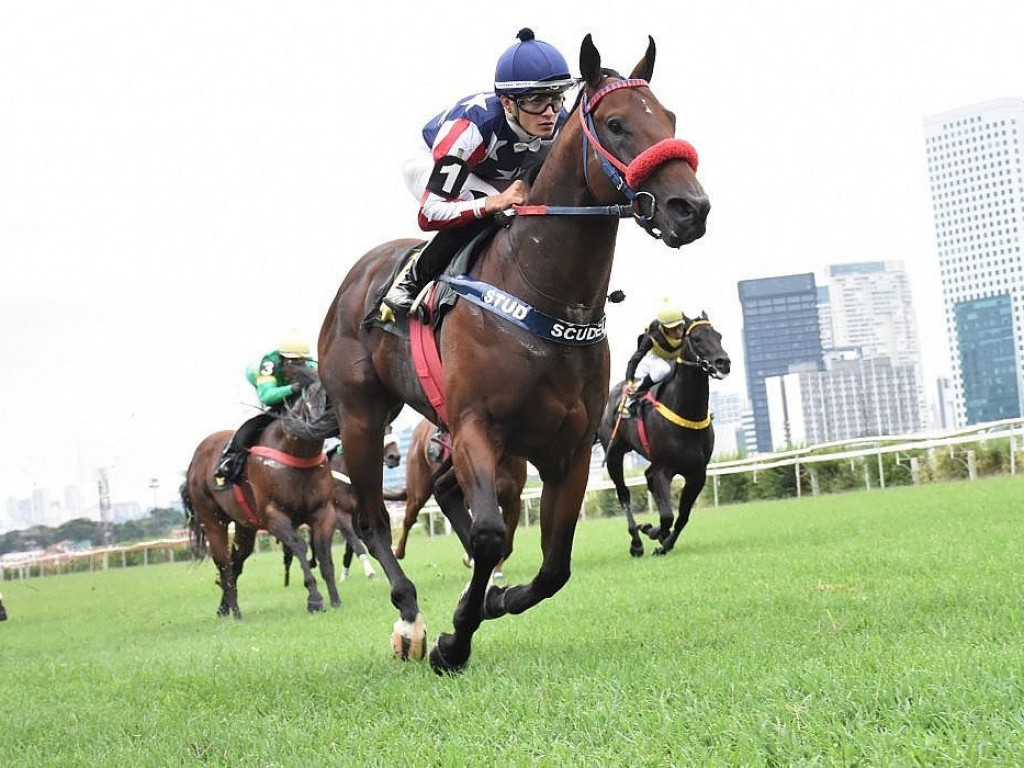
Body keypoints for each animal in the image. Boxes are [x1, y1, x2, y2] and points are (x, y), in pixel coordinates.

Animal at [182, 382, 342, 622]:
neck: (297, 452)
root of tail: (195, 459)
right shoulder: (274, 516)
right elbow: (300, 546)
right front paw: (315, 599)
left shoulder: (323, 512)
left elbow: (323, 553)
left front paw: (335, 599)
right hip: (212, 520)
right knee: (224, 565)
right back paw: (236, 613)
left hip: (245, 527)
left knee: (236, 562)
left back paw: (224, 608)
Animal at [315, 36, 708, 671]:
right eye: (617, 124)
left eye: (670, 119)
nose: (690, 208)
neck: (542, 293)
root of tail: (357, 277)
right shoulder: (477, 427)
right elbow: (489, 535)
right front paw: (452, 640)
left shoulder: (568, 451)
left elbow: (552, 566)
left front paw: (490, 602)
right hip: (362, 416)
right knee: (374, 519)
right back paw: (410, 620)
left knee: (453, 504)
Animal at [598, 313, 733, 561]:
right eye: (697, 339)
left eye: (718, 336)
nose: (723, 362)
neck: (687, 412)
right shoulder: (664, 469)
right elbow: (667, 515)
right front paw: (652, 532)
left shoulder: (697, 473)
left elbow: (682, 515)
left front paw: (665, 543)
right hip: (613, 453)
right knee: (624, 494)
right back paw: (636, 542)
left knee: (647, 477)